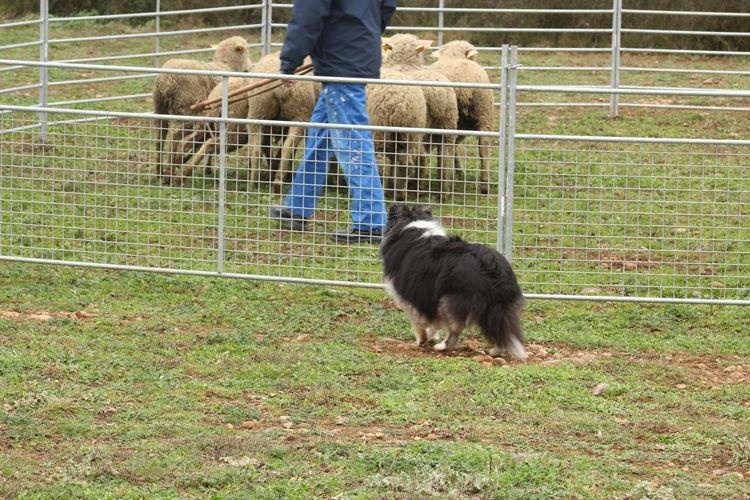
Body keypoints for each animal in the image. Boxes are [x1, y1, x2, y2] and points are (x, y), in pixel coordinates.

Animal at [153, 37, 253, 182]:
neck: (227, 65)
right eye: (245, 51)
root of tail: (167, 80)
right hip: (188, 109)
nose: (252, 67)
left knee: (160, 135)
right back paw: (170, 170)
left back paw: (160, 171)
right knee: (175, 135)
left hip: (160, 106)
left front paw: (204, 166)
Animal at [382, 204, 528, 360]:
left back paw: (442, 346)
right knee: (499, 328)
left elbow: (419, 322)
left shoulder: (415, 297)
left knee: (455, 331)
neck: (412, 225)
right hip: (498, 307)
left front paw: (422, 340)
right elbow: (433, 322)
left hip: (450, 299)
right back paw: (496, 351)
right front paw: (431, 336)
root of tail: (491, 266)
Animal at [384, 32, 462, 197]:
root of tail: (436, 92)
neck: (404, 64)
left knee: (420, 157)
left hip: (417, 128)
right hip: (448, 123)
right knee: (446, 155)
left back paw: (417, 188)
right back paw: (443, 192)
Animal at [428, 39, 500, 193]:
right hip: (483, 113)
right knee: (483, 145)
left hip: (457, 118)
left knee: (449, 146)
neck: (454, 57)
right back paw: (484, 184)